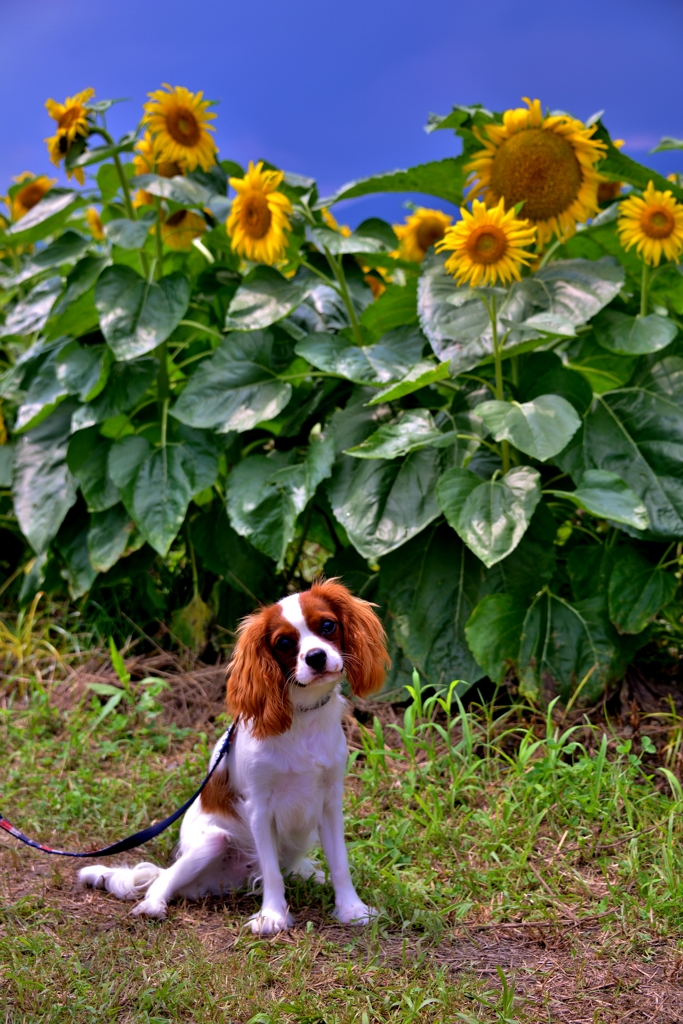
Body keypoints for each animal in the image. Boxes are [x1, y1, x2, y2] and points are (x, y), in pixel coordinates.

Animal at [78, 581, 389, 933]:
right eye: (284, 643)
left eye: (327, 626)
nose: (316, 656)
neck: (302, 716)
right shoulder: (259, 806)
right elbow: (271, 872)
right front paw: (272, 917)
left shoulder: (329, 801)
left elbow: (340, 863)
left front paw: (352, 910)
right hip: (211, 842)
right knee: (165, 877)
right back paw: (153, 904)